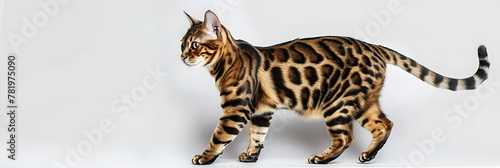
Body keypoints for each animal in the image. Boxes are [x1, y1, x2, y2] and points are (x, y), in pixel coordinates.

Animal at [180, 9, 488, 164]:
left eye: (194, 45)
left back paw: (323, 158)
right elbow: (257, 136)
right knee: (384, 124)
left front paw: (205, 157)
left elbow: (219, 136)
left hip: (337, 104)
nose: (182, 56)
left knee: (346, 137)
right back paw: (369, 155)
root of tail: (374, 46)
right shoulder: (261, 111)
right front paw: (251, 156)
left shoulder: (237, 109)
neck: (226, 62)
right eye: (182, 44)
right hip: (363, 102)